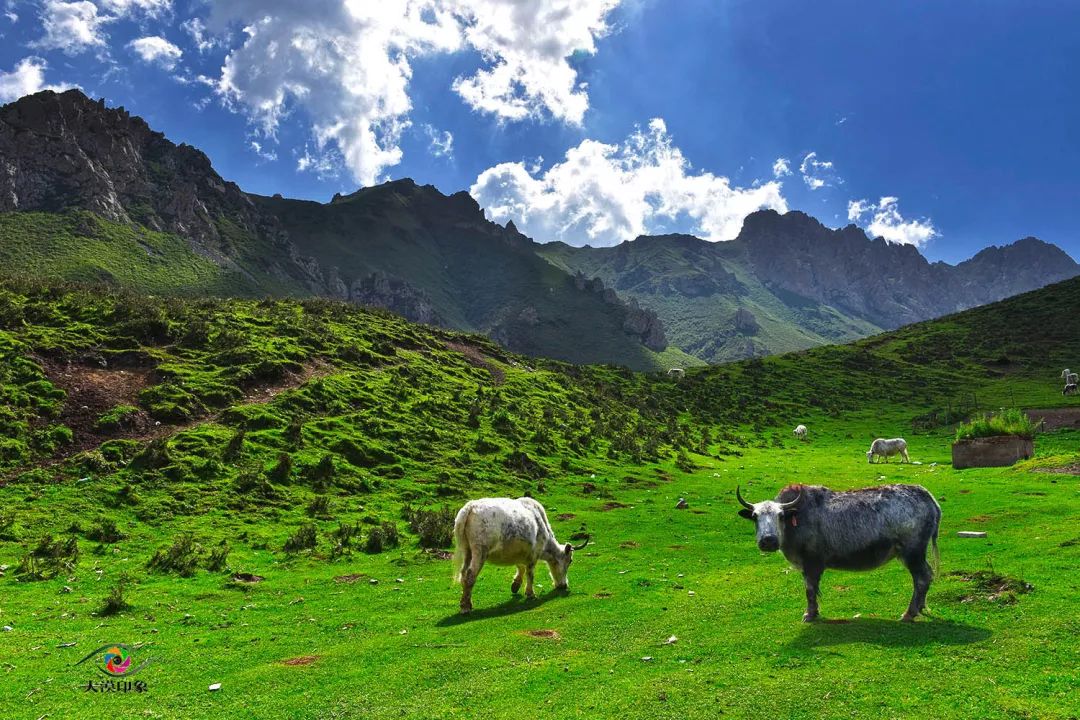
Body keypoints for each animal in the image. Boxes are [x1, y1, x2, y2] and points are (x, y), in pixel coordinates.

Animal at [449, 500, 587, 613]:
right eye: (570, 561)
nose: (564, 585)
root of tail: (470, 507)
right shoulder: (533, 555)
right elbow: (530, 574)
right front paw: (530, 593)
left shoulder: (521, 553)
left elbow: (521, 567)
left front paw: (515, 585)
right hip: (480, 552)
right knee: (470, 576)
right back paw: (466, 607)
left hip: (467, 551)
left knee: (463, 574)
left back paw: (465, 602)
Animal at [738, 487, 941, 621]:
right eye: (755, 516)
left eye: (780, 515)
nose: (768, 540)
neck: (796, 520)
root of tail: (929, 499)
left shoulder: (811, 563)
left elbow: (810, 589)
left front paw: (810, 614)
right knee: (926, 576)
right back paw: (920, 607)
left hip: (912, 552)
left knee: (922, 578)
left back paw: (909, 613)